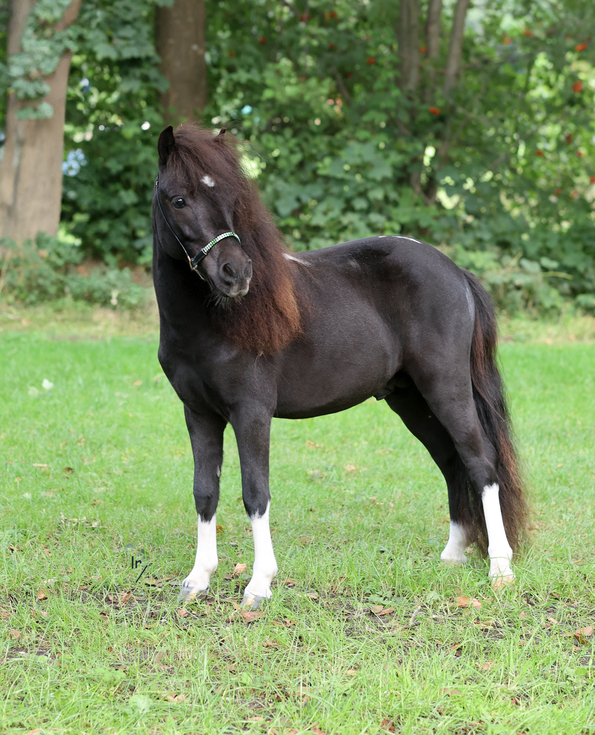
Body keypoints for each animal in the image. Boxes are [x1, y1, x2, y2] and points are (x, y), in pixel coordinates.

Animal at [152, 123, 527, 608]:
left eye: (233, 198)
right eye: (179, 199)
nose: (235, 273)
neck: (211, 324)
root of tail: (455, 271)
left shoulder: (250, 413)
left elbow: (255, 493)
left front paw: (259, 584)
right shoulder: (199, 414)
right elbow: (205, 492)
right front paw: (198, 579)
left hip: (447, 388)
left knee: (480, 463)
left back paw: (500, 568)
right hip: (412, 400)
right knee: (451, 462)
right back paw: (453, 554)